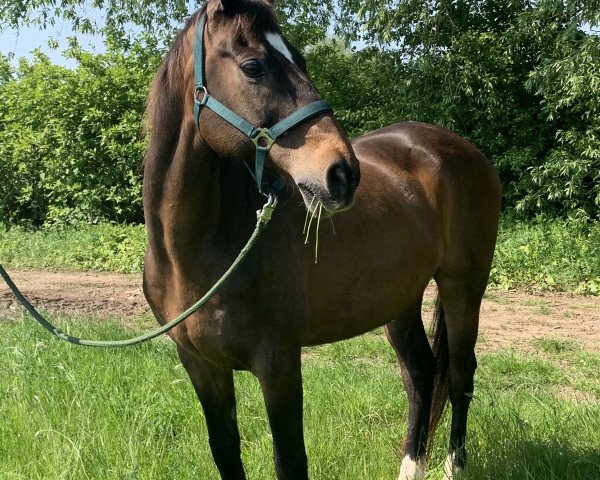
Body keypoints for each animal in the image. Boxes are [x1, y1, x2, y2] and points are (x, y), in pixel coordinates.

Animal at [142, 0, 502, 480]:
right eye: (253, 67)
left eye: (300, 60)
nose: (343, 174)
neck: (194, 256)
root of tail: (465, 152)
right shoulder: (199, 364)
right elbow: (226, 450)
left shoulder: (278, 361)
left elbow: (290, 458)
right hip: (401, 298)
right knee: (421, 374)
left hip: (463, 285)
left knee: (460, 375)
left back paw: (454, 467)